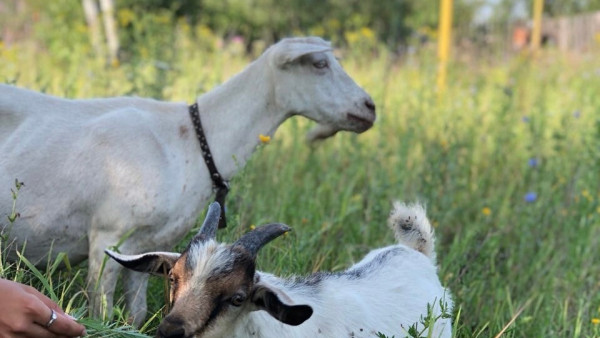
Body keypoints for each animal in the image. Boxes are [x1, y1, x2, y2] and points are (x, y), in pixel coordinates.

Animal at [0, 37, 376, 324]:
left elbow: (136, 314)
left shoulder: (144, 244)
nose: (370, 107)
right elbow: (101, 313)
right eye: (319, 64)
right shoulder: (109, 235)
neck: (190, 141)